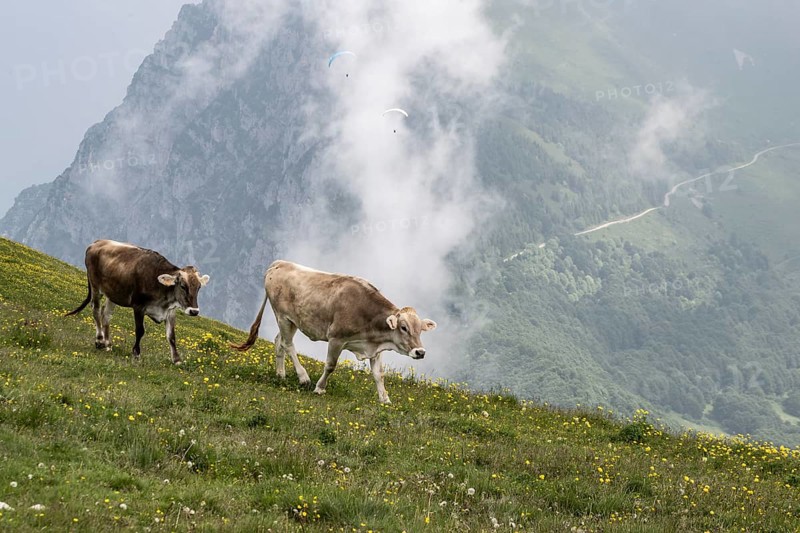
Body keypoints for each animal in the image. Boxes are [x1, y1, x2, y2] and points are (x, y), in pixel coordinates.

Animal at [65, 240, 210, 364]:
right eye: (183, 286)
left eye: (198, 287)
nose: (194, 311)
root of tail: (97, 242)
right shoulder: (138, 306)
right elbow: (140, 330)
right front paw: (136, 353)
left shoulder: (170, 311)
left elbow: (171, 336)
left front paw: (177, 359)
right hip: (95, 286)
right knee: (95, 310)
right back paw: (100, 340)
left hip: (113, 293)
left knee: (105, 315)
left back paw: (108, 344)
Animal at [231, 260, 436, 404]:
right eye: (404, 327)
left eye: (420, 330)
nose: (420, 352)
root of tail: (280, 263)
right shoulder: (336, 338)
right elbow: (330, 365)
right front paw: (319, 388)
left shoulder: (374, 348)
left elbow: (379, 374)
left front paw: (385, 399)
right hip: (282, 316)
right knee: (288, 344)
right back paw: (303, 377)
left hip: (292, 321)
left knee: (278, 342)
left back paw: (280, 374)